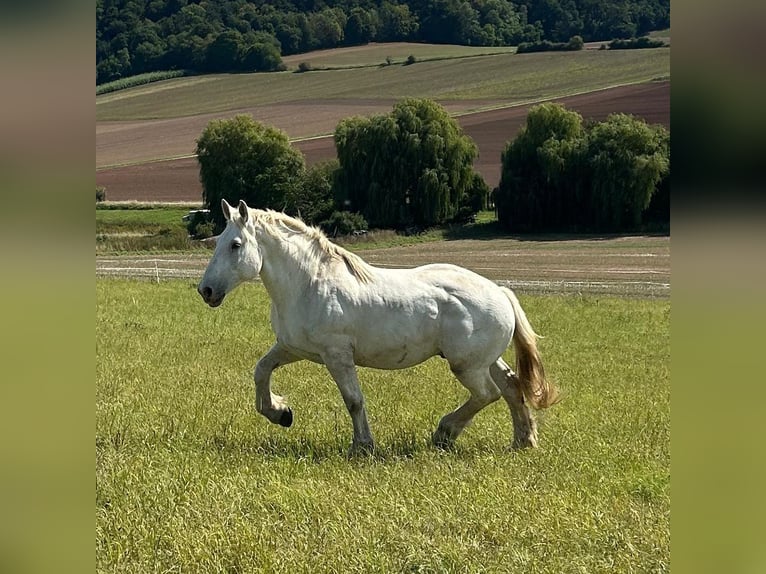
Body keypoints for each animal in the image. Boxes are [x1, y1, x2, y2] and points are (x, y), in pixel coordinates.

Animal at [198, 199, 558, 454]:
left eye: (235, 245)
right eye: (218, 241)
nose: (206, 291)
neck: (308, 284)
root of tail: (500, 292)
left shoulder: (337, 355)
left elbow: (354, 400)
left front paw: (362, 446)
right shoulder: (291, 348)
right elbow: (261, 371)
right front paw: (280, 413)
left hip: (466, 366)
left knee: (488, 394)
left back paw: (444, 433)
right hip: (485, 361)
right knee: (512, 387)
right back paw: (523, 441)